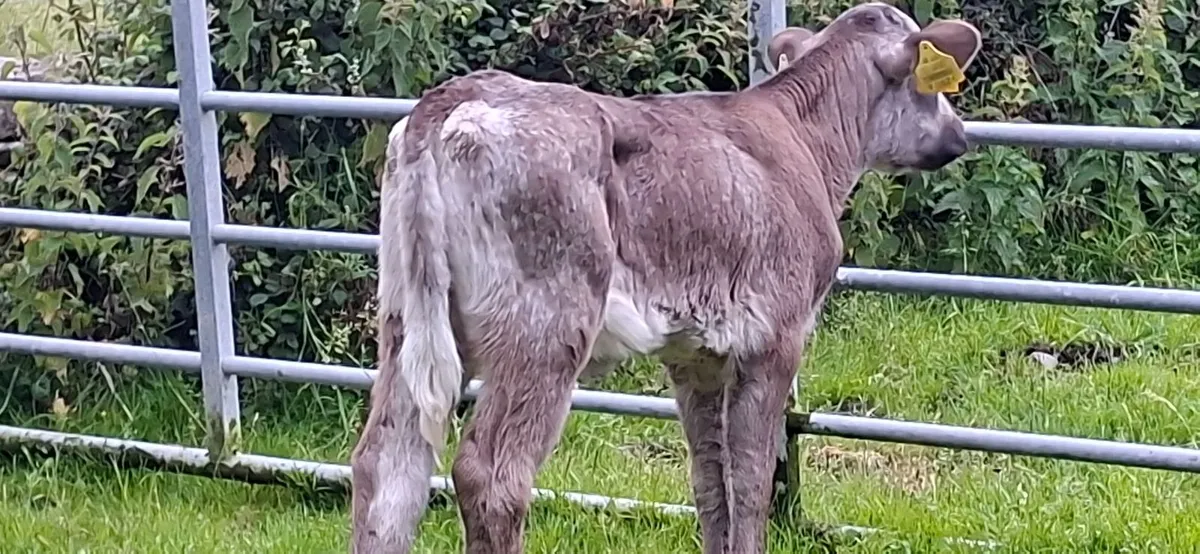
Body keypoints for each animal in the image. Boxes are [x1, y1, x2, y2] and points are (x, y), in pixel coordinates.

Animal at [350, 2, 982, 553]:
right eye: (933, 86)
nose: (959, 137)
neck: (808, 143)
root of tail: (451, 99)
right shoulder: (776, 337)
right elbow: (751, 480)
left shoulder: (696, 354)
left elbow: (710, 480)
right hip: (545, 322)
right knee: (490, 475)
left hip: (406, 312)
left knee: (386, 464)